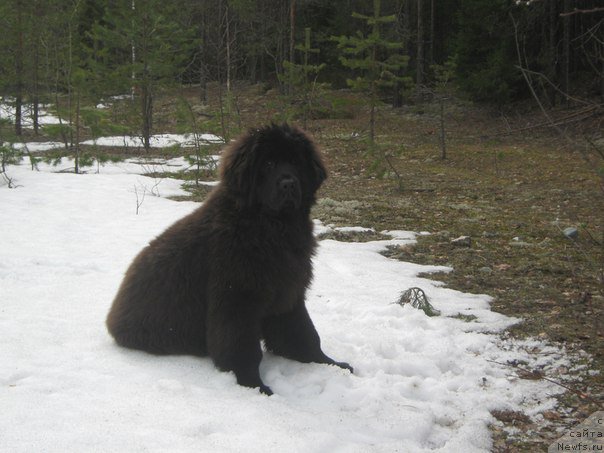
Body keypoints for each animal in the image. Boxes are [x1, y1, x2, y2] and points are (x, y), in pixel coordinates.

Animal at [106, 122, 352, 392]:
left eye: (296, 162)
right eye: (268, 164)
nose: (288, 183)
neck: (268, 228)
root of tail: (112, 316)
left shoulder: (288, 292)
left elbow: (303, 333)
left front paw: (331, 364)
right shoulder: (235, 299)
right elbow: (242, 347)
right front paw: (254, 386)